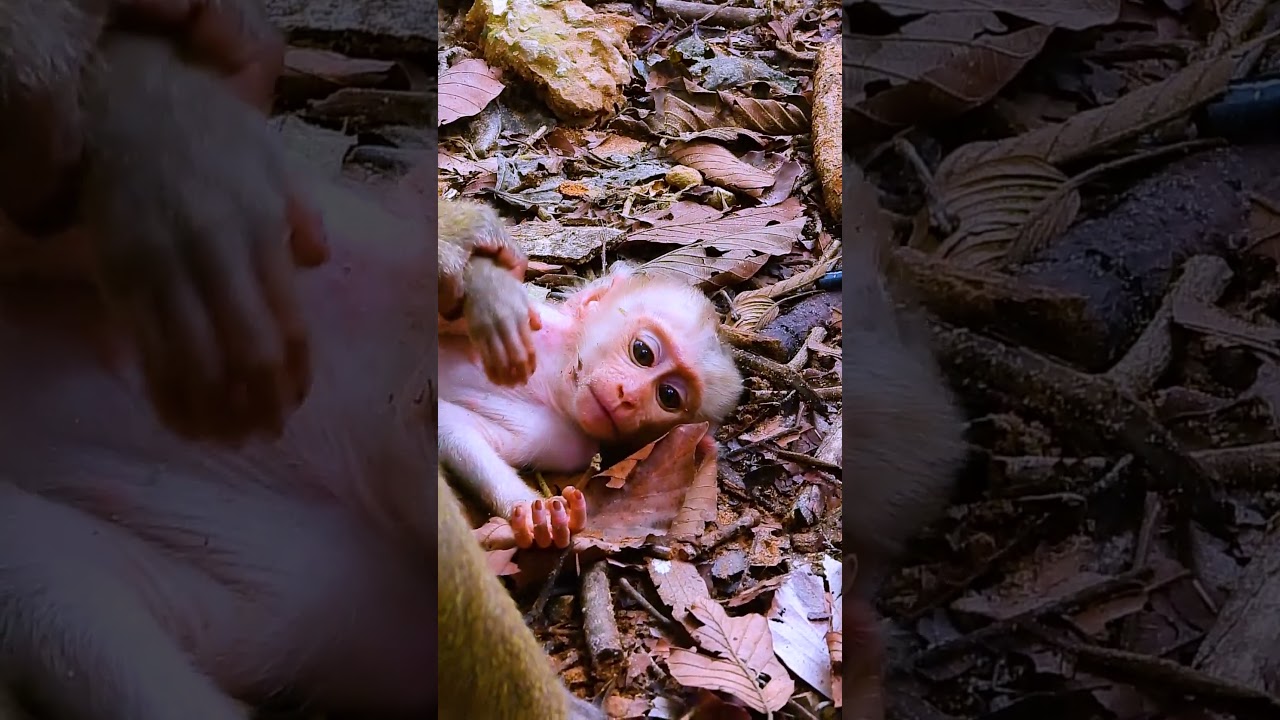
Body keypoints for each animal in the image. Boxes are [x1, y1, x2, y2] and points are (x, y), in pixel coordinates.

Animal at [439, 264, 745, 549]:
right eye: (643, 352)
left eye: (668, 396)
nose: (629, 396)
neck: (551, 383)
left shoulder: (565, 441)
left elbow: (455, 429)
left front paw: (542, 515)